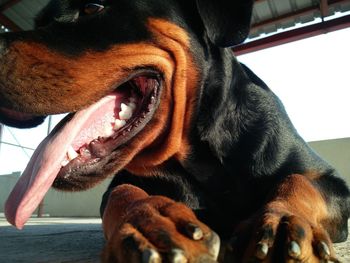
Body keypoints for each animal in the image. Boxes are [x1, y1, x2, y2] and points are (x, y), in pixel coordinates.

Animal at [0, 0, 350, 262]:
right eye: (39, 20)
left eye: (92, 7)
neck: (197, 155)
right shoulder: (122, 183)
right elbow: (122, 193)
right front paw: (149, 222)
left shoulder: (332, 183)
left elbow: (299, 181)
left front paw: (281, 221)